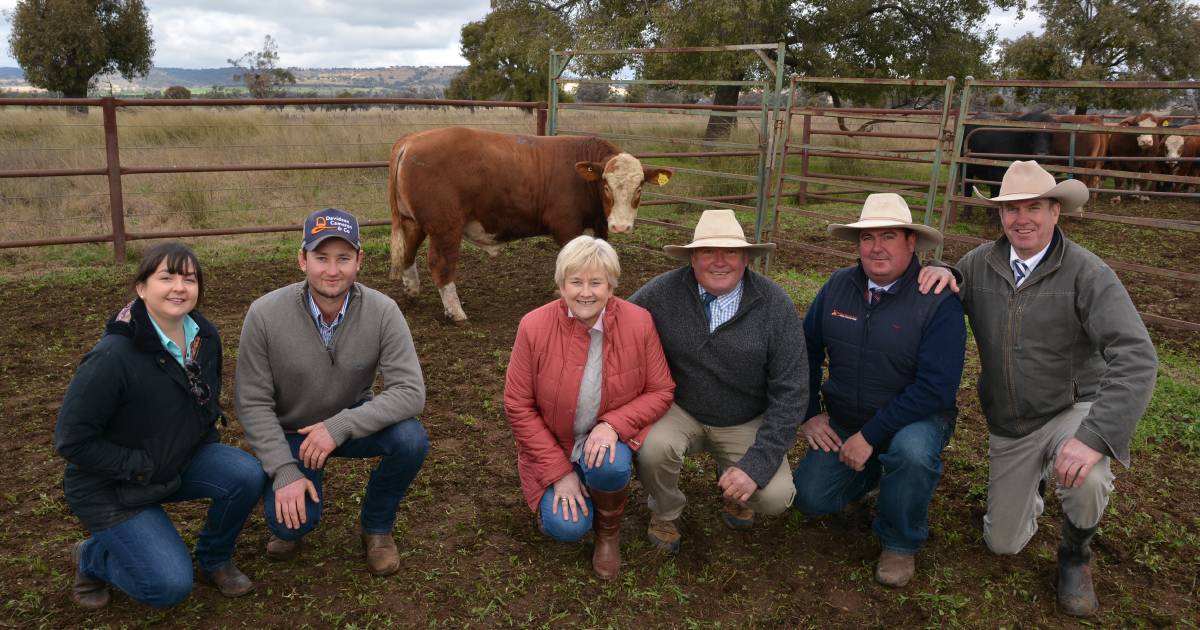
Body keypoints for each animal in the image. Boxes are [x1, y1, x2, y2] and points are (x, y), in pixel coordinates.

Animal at [388, 128, 676, 324]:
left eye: (639, 187)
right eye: (606, 185)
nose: (621, 226)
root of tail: (412, 140)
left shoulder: (599, 228)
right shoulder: (566, 225)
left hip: (413, 222)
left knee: (407, 254)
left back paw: (412, 292)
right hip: (446, 227)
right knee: (441, 265)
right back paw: (456, 312)